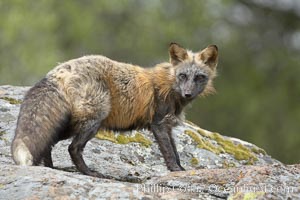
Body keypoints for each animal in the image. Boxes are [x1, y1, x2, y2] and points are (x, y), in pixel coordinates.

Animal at [11, 43, 218, 177]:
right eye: (183, 76)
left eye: (199, 77)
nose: (188, 94)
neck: (169, 84)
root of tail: (61, 68)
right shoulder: (158, 124)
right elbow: (169, 152)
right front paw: (175, 170)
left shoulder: (167, 127)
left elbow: (175, 151)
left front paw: (182, 170)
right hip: (92, 121)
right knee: (72, 148)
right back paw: (89, 172)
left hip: (72, 123)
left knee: (49, 142)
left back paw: (50, 168)